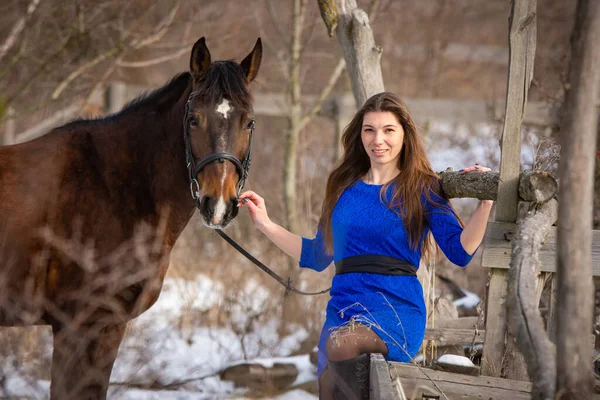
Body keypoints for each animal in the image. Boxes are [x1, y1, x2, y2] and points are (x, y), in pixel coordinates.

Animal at [0, 37, 262, 400]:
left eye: (248, 122)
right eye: (193, 119)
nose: (219, 204)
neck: (114, 183)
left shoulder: (107, 329)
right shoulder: (77, 328)